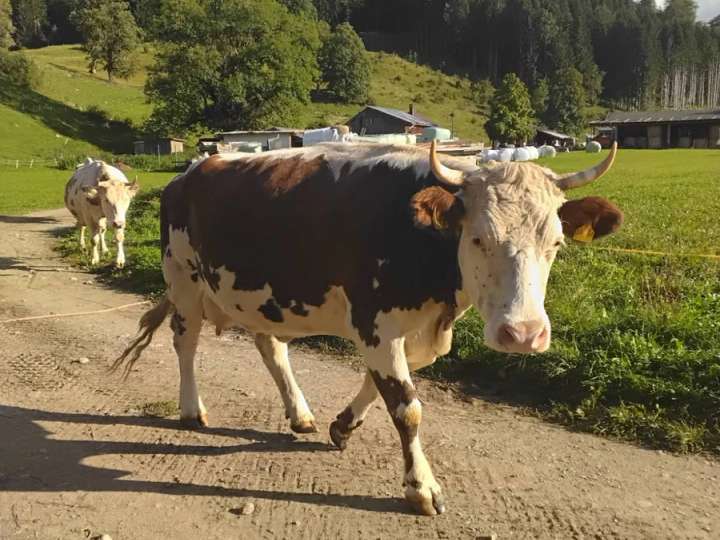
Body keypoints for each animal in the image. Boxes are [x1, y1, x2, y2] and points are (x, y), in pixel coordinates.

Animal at [115, 141, 622, 516]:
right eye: (478, 239)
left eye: (556, 243)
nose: (524, 334)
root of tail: (190, 170)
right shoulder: (374, 321)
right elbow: (406, 407)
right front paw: (421, 487)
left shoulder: (404, 330)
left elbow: (380, 387)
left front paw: (342, 426)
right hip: (182, 276)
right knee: (185, 342)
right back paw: (191, 408)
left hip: (262, 294)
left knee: (270, 346)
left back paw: (299, 412)